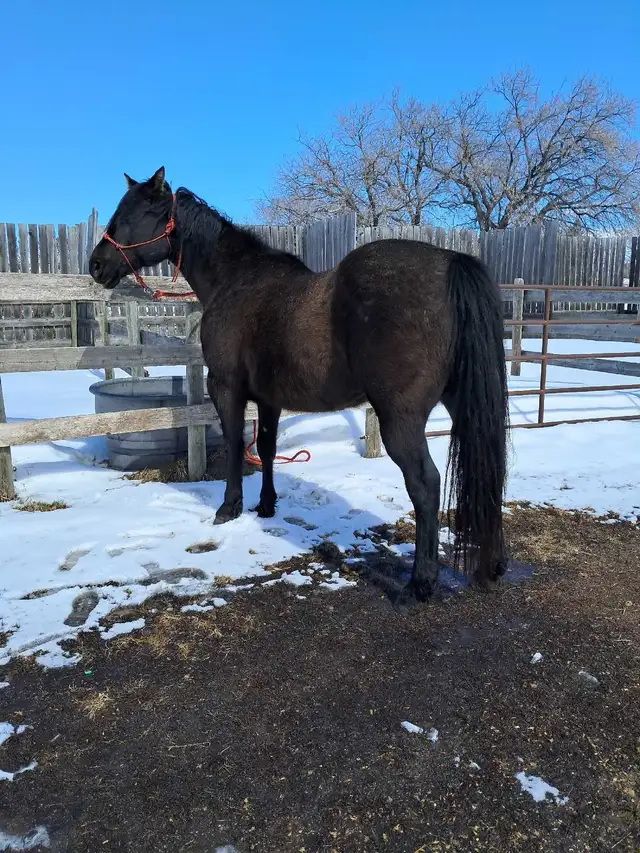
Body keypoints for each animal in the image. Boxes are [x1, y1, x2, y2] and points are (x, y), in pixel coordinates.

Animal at [89, 167, 509, 607]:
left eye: (132, 213)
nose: (96, 264)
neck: (235, 280)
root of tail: (450, 261)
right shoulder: (268, 400)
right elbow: (266, 448)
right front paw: (266, 505)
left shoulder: (226, 388)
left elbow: (237, 446)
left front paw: (229, 508)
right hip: (463, 405)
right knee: (490, 472)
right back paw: (492, 564)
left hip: (401, 420)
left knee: (425, 484)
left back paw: (419, 584)